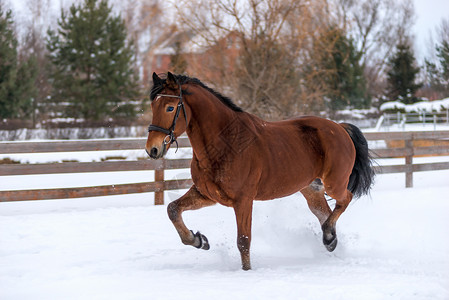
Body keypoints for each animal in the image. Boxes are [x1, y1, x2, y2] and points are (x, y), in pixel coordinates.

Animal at [145, 72, 372, 270]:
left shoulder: (243, 200)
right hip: (311, 190)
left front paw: (247, 271)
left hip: (334, 183)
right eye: (153, 105)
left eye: (170, 107)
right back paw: (330, 241)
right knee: (324, 213)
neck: (226, 143)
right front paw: (199, 240)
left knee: (345, 199)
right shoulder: (207, 194)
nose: (152, 149)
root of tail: (339, 128)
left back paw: (328, 236)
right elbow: (173, 209)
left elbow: (243, 241)